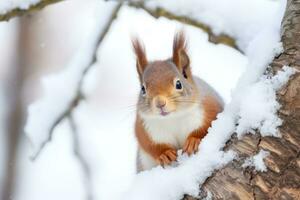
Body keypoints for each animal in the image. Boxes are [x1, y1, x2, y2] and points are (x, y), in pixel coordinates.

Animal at [132, 31, 224, 172]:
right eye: (143, 89)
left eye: (178, 84)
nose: (160, 103)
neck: (173, 118)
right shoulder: (144, 127)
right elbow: (149, 144)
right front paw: (164, 153)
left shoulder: (210, 107)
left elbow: (207, 126)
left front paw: (193, 140)